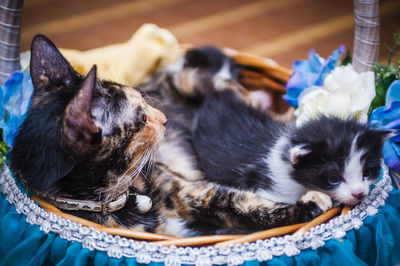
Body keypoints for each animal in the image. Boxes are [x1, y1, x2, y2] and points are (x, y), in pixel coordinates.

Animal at [9, 35, 334, 237]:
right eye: (141, 119)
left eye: (141, 98)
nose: (163, 118)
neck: (119, 197)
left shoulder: (188, 190)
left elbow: (243, 203)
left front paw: (307, 205)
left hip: (194, 82)